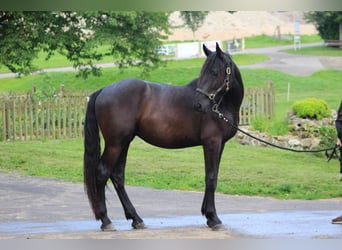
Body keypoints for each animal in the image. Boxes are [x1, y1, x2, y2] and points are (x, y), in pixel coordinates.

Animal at [84, 42, 244, 230]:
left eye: (214, 72)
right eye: (205, 72)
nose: (198, 105)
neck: (220, 105)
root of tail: (103, 90)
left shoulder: (220, 144)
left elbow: (212, 175)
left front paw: (208, 215)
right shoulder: (212, 143)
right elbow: (211, 178)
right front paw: (213, 218)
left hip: (124, 142)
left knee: (117, 176)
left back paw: (136, 219)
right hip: (115, 144)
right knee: (102, 173)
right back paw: (106, 220)